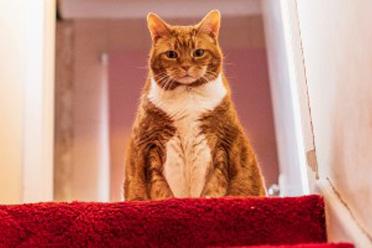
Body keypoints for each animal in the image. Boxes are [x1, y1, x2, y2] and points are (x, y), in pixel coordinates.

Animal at [123, 9, 266, 201]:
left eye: (198, 52)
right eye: (171, 54)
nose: (185, 66)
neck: (187, 94)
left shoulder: (223, 142)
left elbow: (215, 184)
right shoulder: (149, 143)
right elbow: (158, 187)